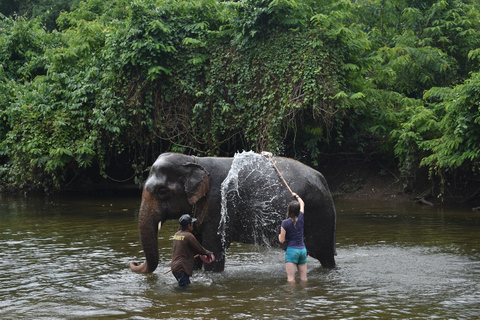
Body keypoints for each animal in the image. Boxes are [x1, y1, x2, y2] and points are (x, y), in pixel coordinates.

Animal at [129, 151, 336, 272]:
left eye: (162, 191)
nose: (133, 263)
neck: (195, 161)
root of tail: (324, 180)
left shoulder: (218, 205)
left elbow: (213, 250)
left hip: (321, 217)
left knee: (326, 256)